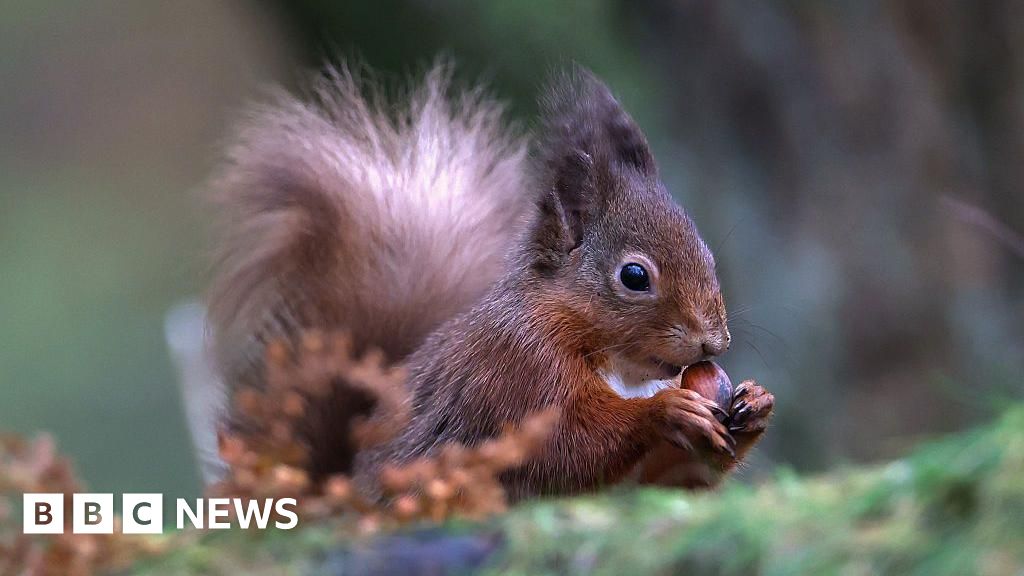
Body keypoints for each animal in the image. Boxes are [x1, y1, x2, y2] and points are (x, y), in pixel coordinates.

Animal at [207, 63, 774, 500]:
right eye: (634, 276)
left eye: (708, 255)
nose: (715, 341)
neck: (621, 368)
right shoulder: (516, 369)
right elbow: (565, 445)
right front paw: (665, 410)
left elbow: (663, 479)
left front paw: (755, 404)